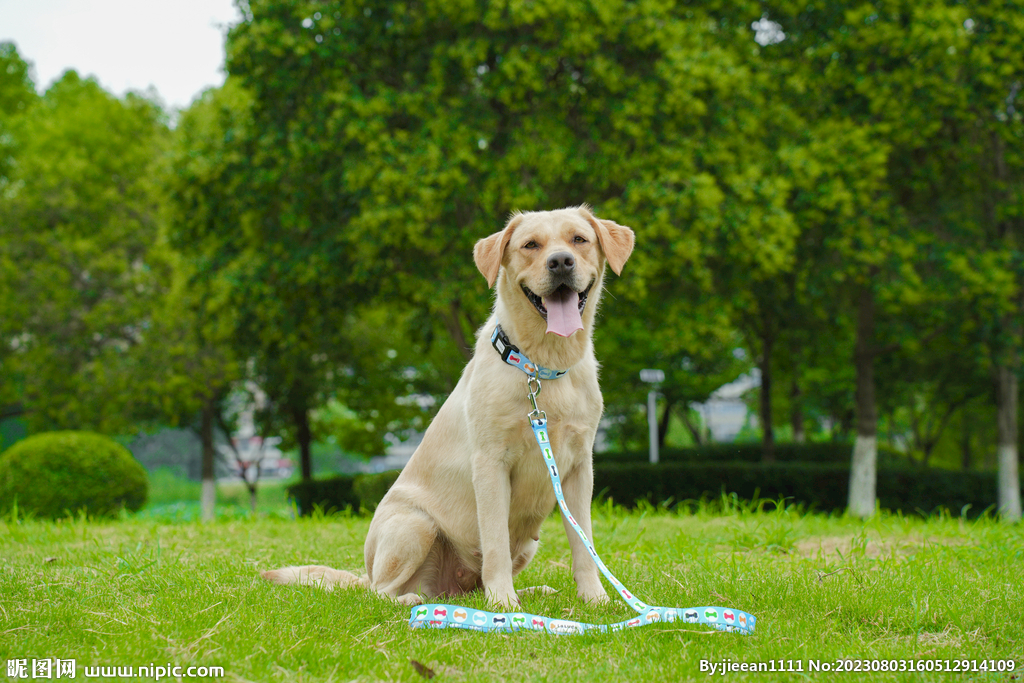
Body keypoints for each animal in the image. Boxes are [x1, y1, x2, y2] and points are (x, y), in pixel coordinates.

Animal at [264, 206, 630, 610]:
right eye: (531, 245)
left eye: (579, 239)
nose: (561, 261)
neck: (541, 367)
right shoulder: (490, 464)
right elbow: (495, 543)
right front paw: (504, 606)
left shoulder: (579, 467)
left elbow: (584, 544)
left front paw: (594, 599)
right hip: (415, 524)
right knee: (382, 593)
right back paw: (418, 600)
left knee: (468, 587)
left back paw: (527, 593)